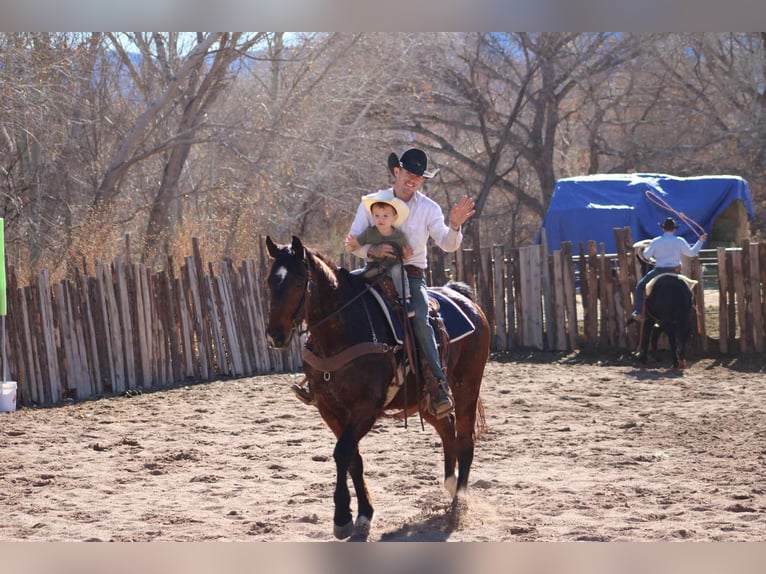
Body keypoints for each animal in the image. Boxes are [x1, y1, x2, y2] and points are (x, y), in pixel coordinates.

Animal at [264, 236, 492, 544]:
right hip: (424, 400)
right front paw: (363, 516)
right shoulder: (329, 409)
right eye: (270, 282)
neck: (341, 332)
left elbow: (342, 453)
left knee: (465, 438)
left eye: (300, 282)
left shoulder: (366, 408)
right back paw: (450, 483)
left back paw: (459, 506)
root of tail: (464, 299)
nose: (275, 335)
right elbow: (353, 459)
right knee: (447, 428)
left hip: (467, 384)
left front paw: (342, 518)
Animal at [632, 241, 700, 372]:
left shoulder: (649, 319)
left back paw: (675, 363)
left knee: (672, 337)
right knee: (683, 334)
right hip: (683, 317)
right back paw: (681, 362)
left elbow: (646, 337)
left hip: (667, 319)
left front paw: (643, 360)